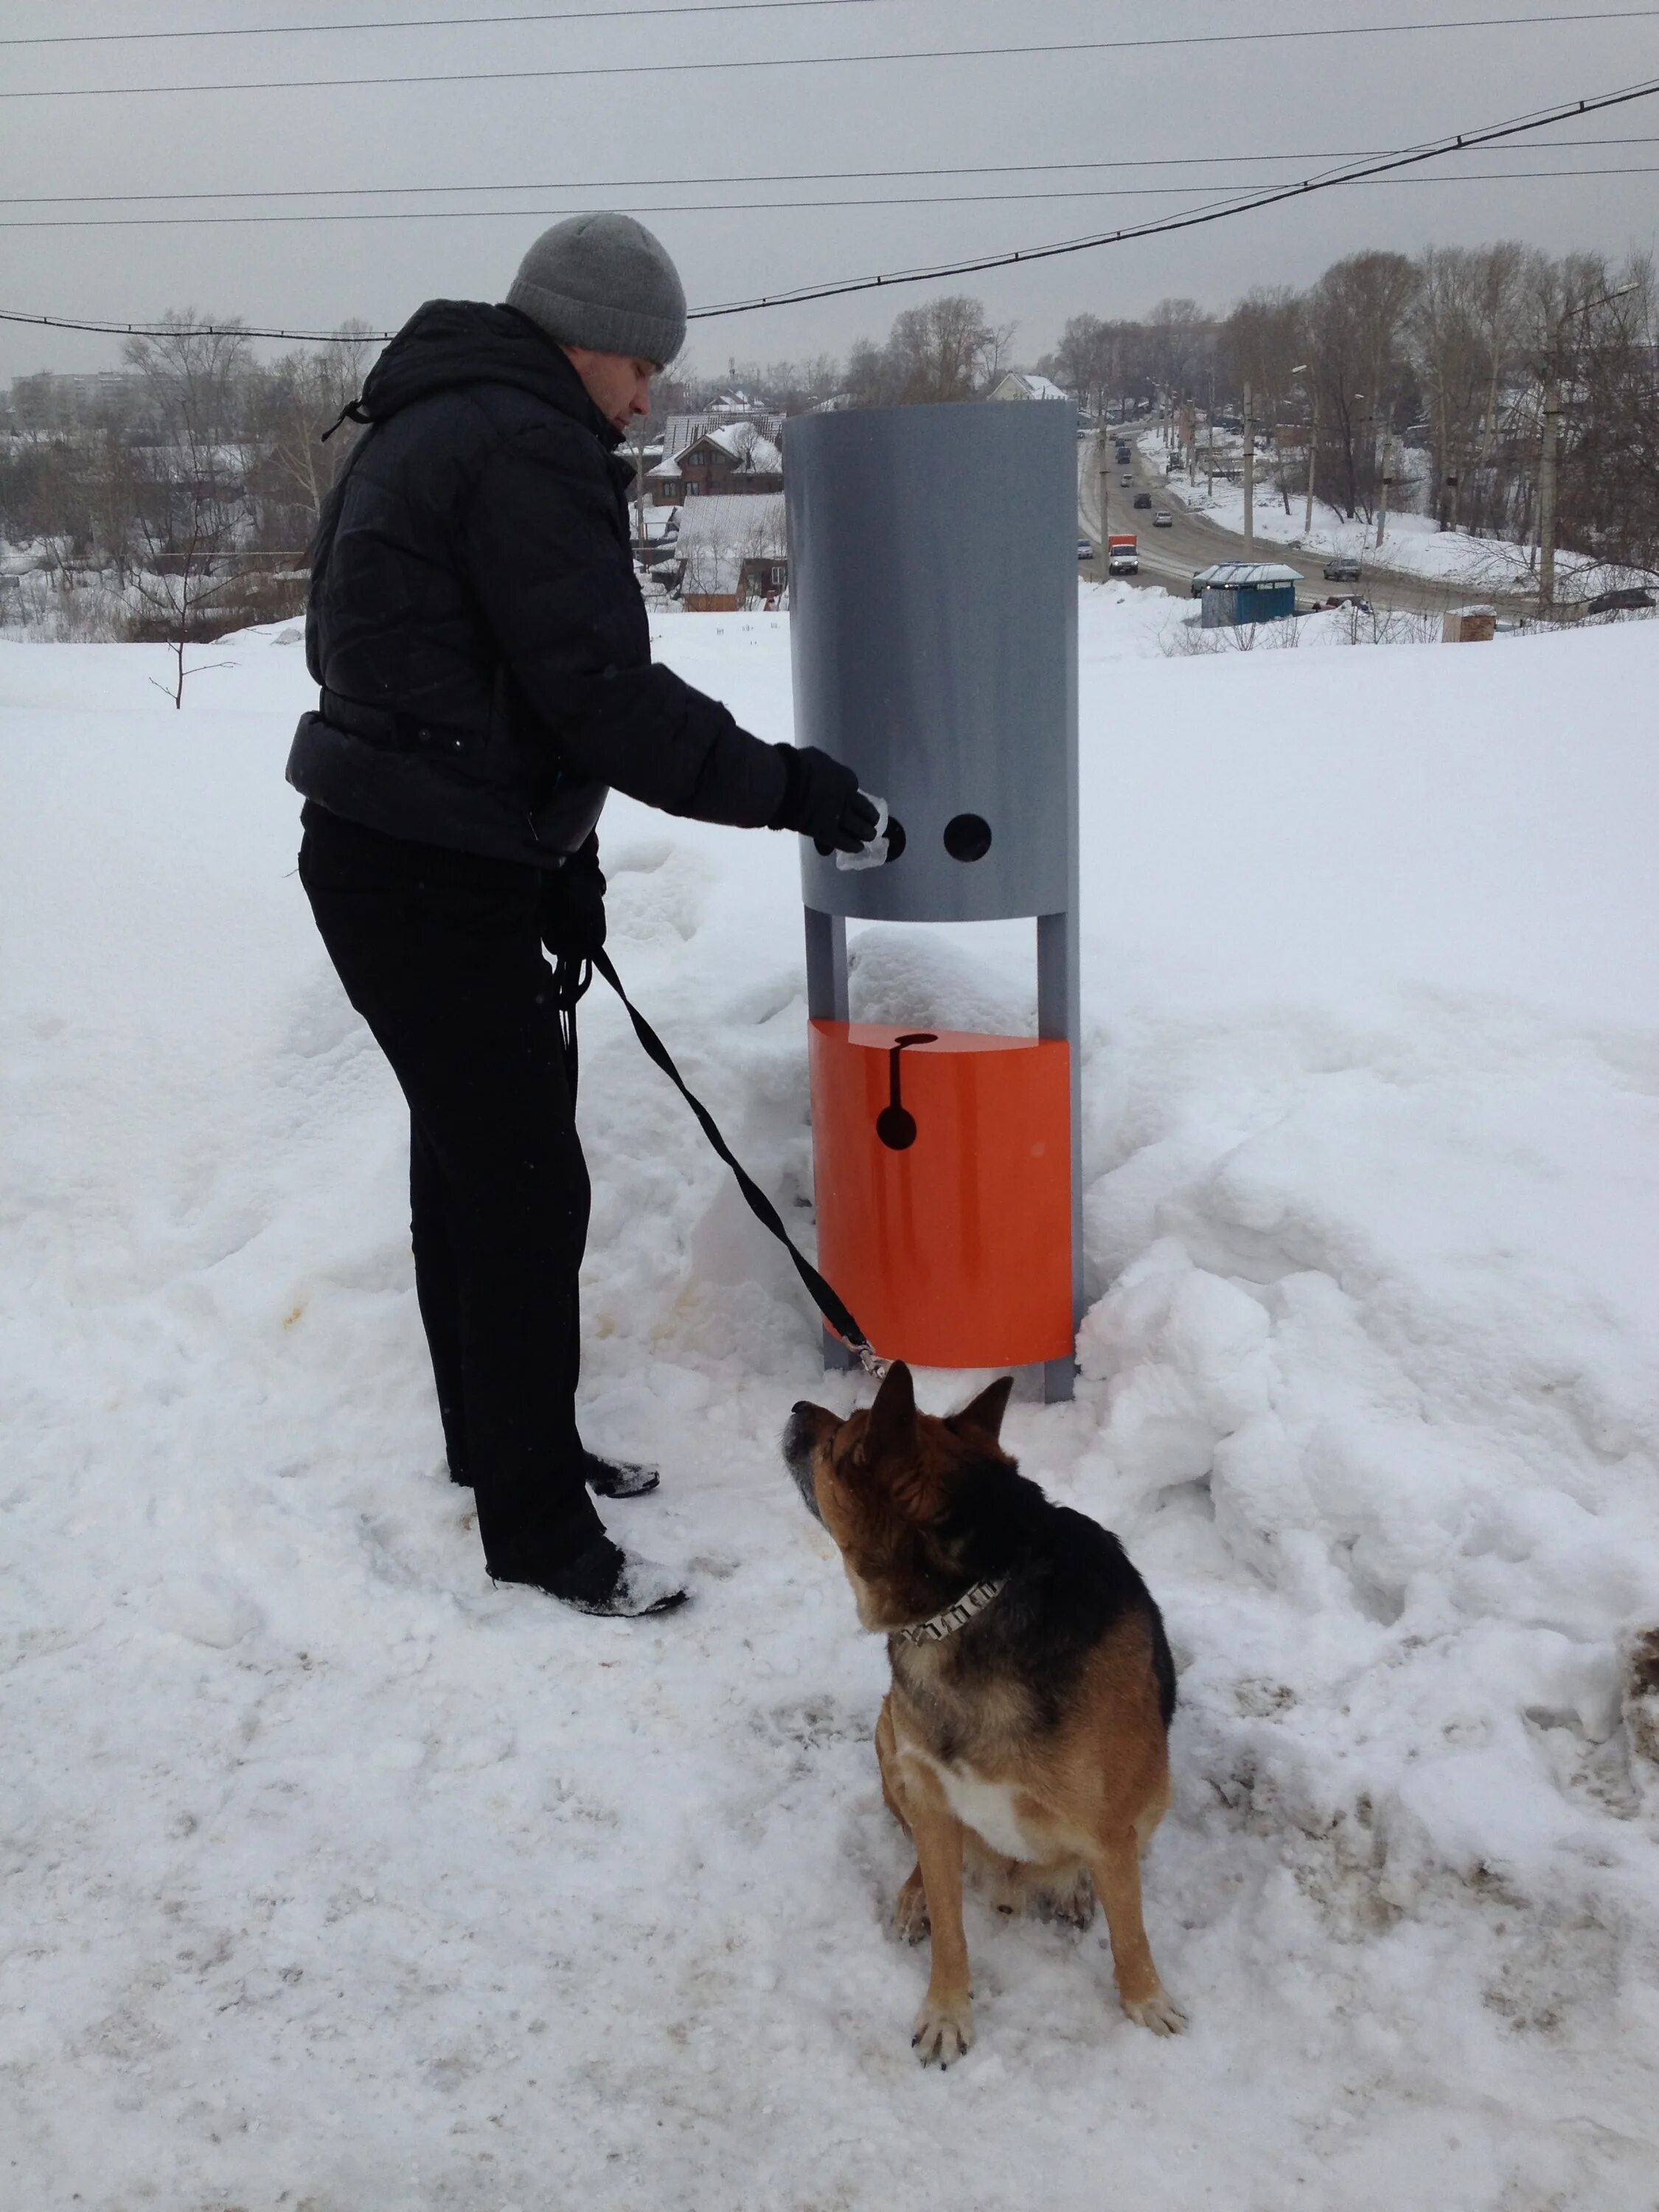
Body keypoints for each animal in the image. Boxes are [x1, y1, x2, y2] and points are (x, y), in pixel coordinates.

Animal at [787, 1354, 1186, 2062]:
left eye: (837, 1445)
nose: (797, 1408)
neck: (970, 1600)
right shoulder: (933, 1796)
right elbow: (951, 1930)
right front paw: (947, 2012)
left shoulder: (1112, 1826)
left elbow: (1131, 1932)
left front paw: (1145, 2000)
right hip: (890, 1738)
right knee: (921, 1853)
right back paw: (915, 1897)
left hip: (1154, 1790)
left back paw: (1073, 1888)